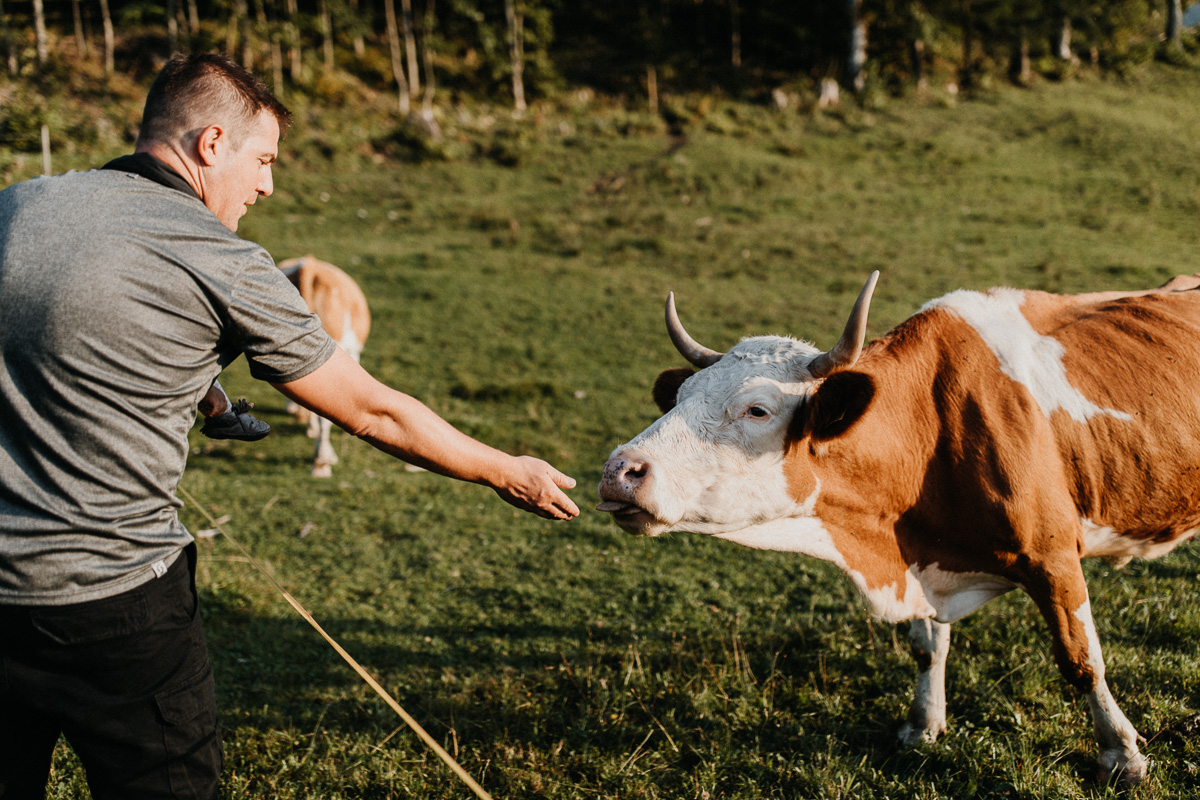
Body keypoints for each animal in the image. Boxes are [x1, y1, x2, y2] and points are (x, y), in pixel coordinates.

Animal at [600, 272, 1200, 786]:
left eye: (757, 410)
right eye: (679, 398)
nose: (619, 470)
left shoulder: (1052, 557)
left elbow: (1082, 661)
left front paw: (1121, 755)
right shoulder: (920, 554)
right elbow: (927, 647)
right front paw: (923, 723)